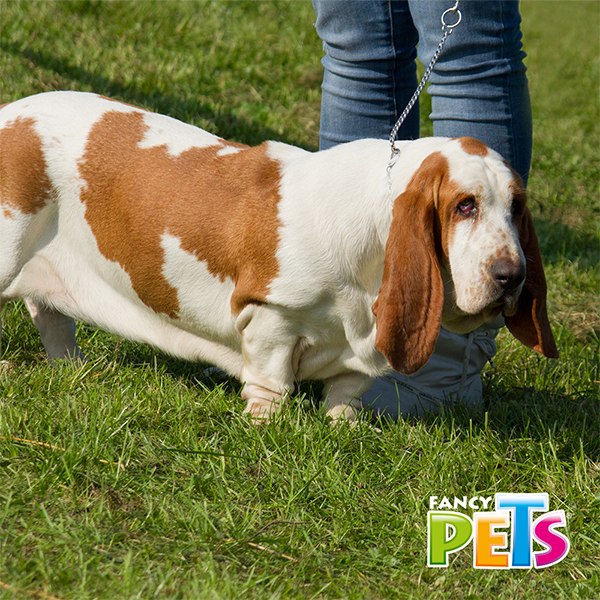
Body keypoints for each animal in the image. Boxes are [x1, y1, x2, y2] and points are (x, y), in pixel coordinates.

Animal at [0, 92, 556, 422]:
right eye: (465, 205)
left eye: (516, 207)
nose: (512, 277)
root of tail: (11, 115)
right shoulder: (272, 316)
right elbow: (272, 383)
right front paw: (262, 425)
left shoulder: (366, 346)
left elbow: (347, 394)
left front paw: (343, 430)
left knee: (50, 317)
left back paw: (69, 367)